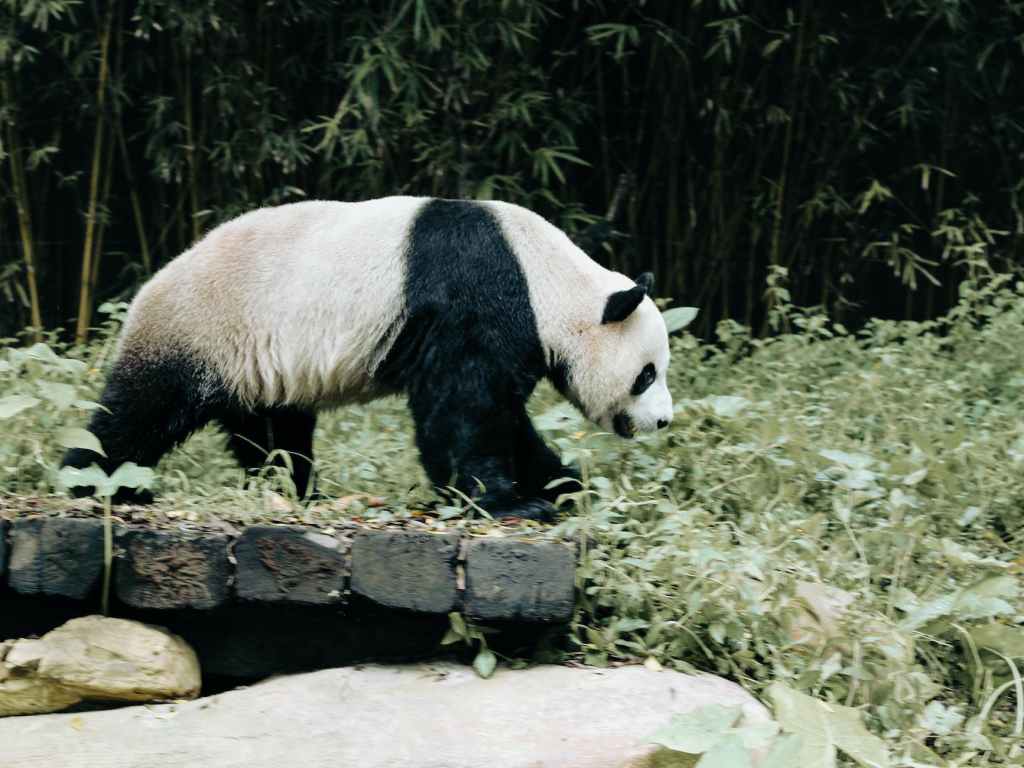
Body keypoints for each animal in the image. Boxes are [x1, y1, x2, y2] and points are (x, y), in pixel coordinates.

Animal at [61, 197, 674, 519]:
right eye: (647, 374)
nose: (663, 421)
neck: (545, 277)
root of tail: (147, 288)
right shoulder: (474, 298)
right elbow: (464, 411)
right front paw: (508, 503)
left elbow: (502, 416)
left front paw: (561, 483)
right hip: (202, 330)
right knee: (138, 414)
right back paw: (96, 483)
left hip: (256, 366)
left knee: (272, 433)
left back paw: (299, 492)